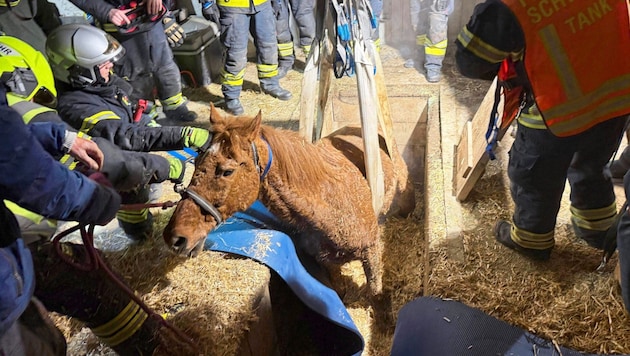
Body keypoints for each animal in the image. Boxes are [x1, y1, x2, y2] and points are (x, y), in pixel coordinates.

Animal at [165, 104, 418, 296]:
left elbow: (373, 290)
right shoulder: (326, 260)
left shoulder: (371, 250)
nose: (175, 236)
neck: (329, 201)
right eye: (197, 161)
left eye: (227, 171)